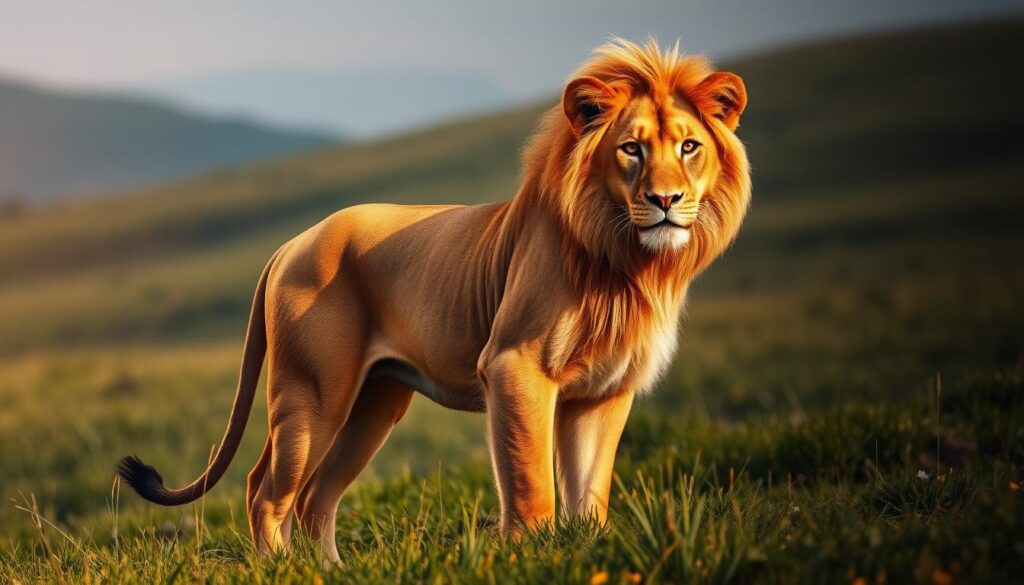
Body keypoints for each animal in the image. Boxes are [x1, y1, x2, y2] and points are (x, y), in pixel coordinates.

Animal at [117, 38, 751, 563]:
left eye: (689, 147)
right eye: (631, 150)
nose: (666, 200)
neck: (627, 263)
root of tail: (291, 244)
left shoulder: (603, 391)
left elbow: (589, 492)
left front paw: (584, 548)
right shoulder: (513, 366)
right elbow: (531, 481)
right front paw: (531, 552)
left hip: (375, 402)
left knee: (315, 497)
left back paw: (334, 571)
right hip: (313, 392)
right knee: (265, 490)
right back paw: (281, 569)